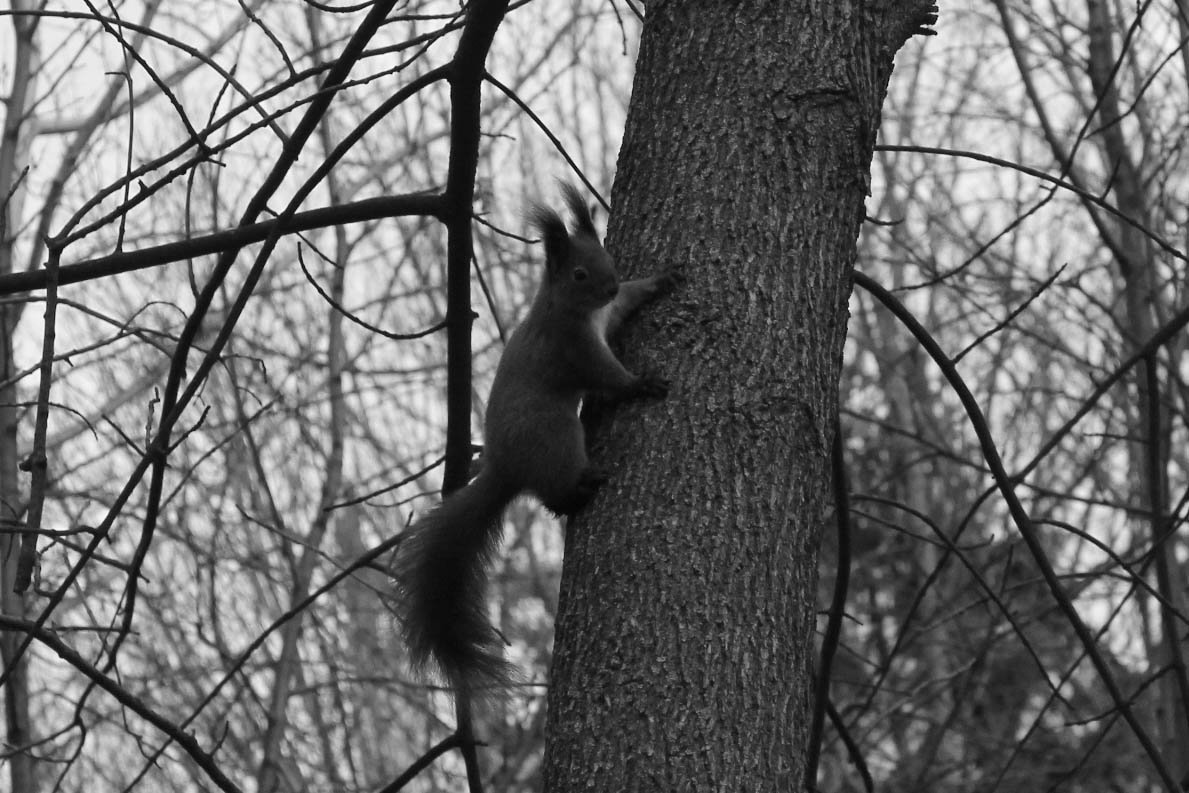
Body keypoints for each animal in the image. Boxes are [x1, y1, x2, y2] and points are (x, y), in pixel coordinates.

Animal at [392, 183, 680, 699]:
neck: (572, 308)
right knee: (553, 491)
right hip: (558, 436)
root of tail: (504, 468)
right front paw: (642, 383)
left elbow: (631, 300)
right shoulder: (575, 349)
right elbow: (609, 377)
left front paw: (660, 279)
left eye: (608, 258)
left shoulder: (608, 314)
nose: (608, 285)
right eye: (579, 273)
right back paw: (580, 491)